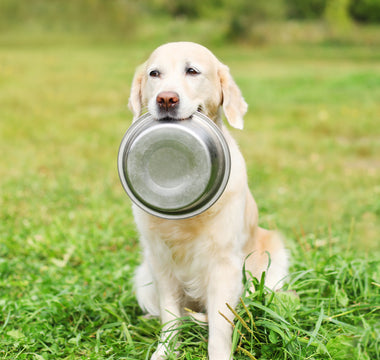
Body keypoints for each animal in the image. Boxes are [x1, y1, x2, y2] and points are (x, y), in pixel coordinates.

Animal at [127, 40, 288, 358]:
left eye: (192, 71)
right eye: (154, 73)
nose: (166, 99)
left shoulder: (225, 265)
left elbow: (220, 326)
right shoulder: (160, 260)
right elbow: (170, 316)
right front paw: (165, 350)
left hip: (273, 258)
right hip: (143, 276)